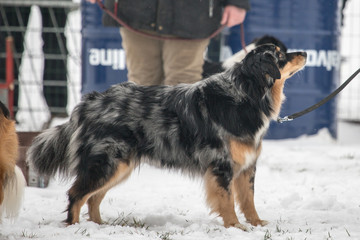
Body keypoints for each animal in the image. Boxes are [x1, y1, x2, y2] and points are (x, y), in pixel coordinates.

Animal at [26, 44, 306, 230]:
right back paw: (75, 229)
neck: (246, 93)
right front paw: (235, 227)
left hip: (119, 166)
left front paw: (256, 224)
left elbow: (248, 200)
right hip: (106, 163)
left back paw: (100, 227)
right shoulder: (221, 165)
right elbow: (227, 201)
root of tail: (89, 102)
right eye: (280, 56)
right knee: (76, 195)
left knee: (92, 198)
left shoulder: (247, 166)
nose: (304, 53)